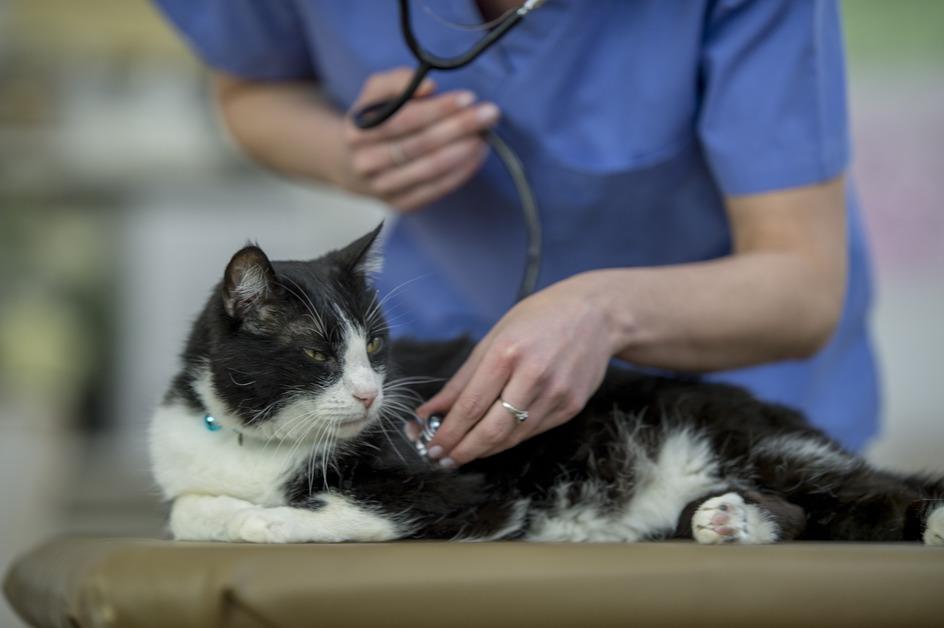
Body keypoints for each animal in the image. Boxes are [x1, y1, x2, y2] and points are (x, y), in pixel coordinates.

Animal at [149, 226, 944, 544]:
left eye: (373, 346)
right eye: (317, 352)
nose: (374, 394)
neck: (262, 446)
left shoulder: (461, 492)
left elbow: (354, 508)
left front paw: (268, 522)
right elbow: (187, 509)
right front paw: (230, 513)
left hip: (753, 442)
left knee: (869, 495)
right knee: (815, 513)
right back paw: (728, 523)